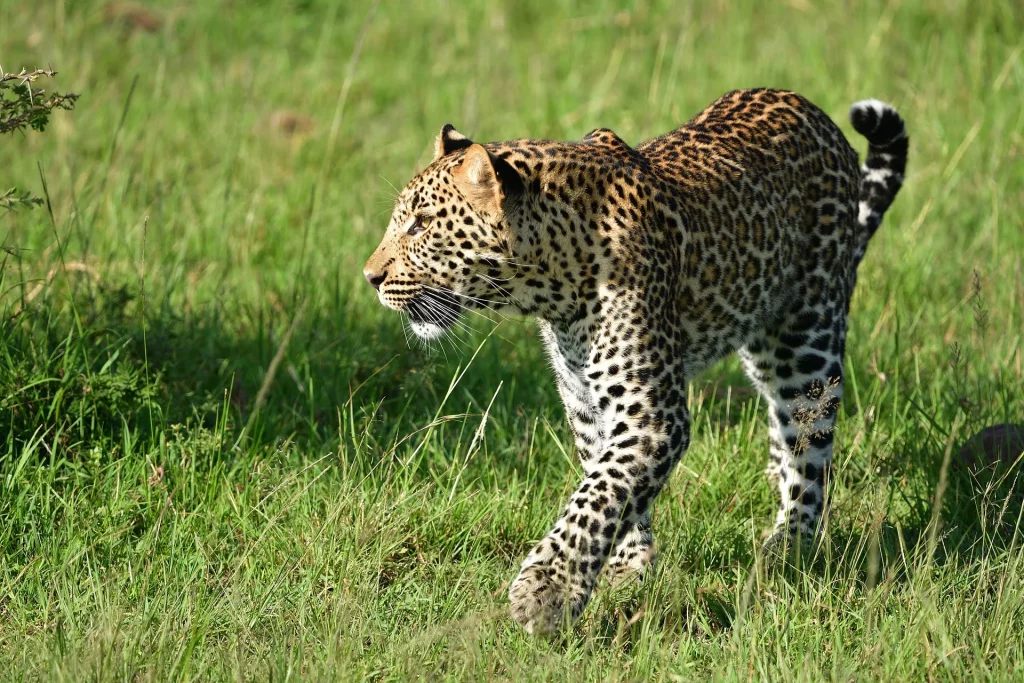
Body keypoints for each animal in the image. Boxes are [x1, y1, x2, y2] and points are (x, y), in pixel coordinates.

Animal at [363, 88, 908, 635]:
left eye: (420, 224)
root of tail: (815, 113)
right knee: (782, 433)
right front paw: (630, 567)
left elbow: (599, 494)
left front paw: (546, 590)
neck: (552, 282)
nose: (370, 277)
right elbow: (610, 480)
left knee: (810, 448)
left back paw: (789, 546)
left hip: (807, 339)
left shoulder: (655, 413)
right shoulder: (587, 406)